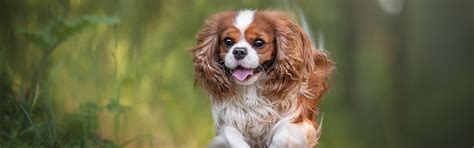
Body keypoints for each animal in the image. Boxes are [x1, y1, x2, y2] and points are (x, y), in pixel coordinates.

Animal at [190, 9, 334, 147]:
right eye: (228, 41)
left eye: (259, 43)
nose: (239, 51)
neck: (251, 89)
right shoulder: (226, 124)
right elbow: (230, 133)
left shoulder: (300, 122)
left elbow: (284, 132)